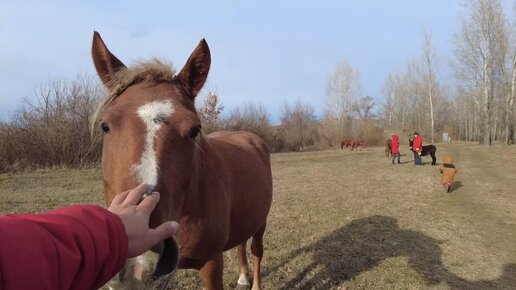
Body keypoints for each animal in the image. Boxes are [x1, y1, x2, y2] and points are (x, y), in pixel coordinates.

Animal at [91, 31, 274, 290]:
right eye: (105, 126)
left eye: (194, 130)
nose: (140, 261)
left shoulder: (212, 264)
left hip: (261, 221)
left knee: (257, 250)